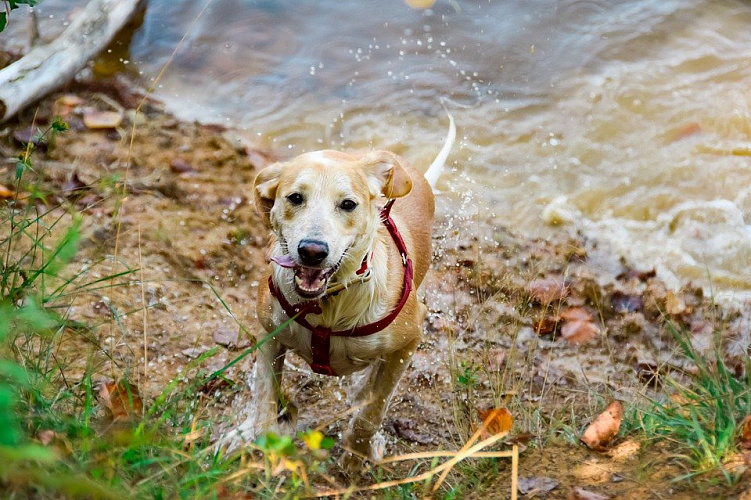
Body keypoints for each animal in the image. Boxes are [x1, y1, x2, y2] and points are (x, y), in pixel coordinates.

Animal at [229, 111, 456, 470]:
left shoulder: (411, 336)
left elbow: (373, 408)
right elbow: (264, 395)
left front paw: (356, 454)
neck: (330, 305)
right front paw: (258, 438)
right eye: (295, 198)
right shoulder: (269, 334)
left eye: (348, 204)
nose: (312, 251)